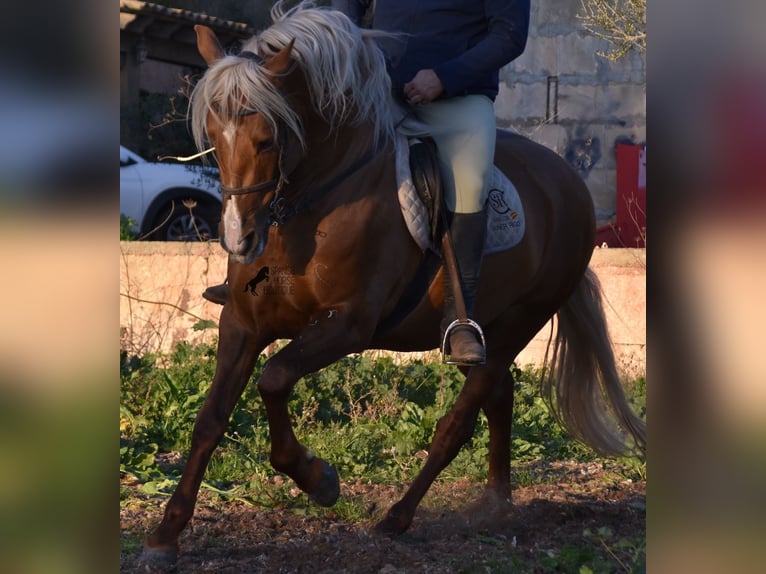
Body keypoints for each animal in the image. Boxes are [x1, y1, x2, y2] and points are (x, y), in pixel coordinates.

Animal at [141, 3, 644, 568]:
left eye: (268, 138)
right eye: (212, 135)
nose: (238, 238)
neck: (317, 199)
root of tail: (569, 184)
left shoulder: (348, 324)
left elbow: (274, 380)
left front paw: (319, 479)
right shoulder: (243, 323)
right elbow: (210, 419)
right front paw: (165, 536)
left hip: (519, 323)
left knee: (459, 421)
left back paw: (399, 517)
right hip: (492, 329)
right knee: (499, 397)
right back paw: (495, 504)